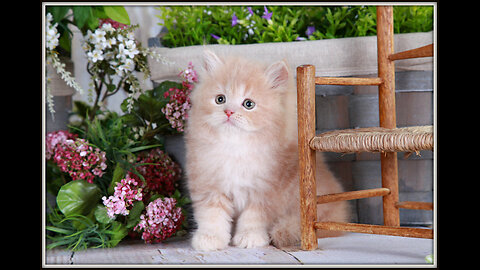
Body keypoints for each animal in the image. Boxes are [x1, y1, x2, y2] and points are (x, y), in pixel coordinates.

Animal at [185, 50, 348, 251]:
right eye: (220, 99)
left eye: (248, 104)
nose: (229, 112)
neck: (236, 148)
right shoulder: (209, 184)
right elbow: (211, 215)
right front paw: (210, 238)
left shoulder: (266, 190)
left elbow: (253, 217)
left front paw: (250, 237)